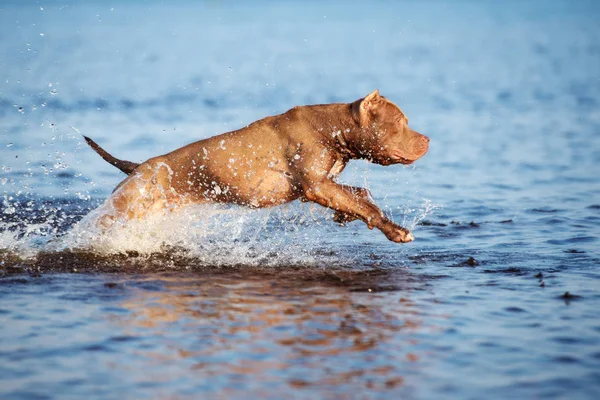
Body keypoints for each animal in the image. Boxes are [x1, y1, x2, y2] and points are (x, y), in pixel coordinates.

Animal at [86, 89, 428, 242]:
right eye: (400, 122)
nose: (427, 139)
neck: (333, 127)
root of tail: (138, 168)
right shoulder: (317, 185)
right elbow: (364, 203)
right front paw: (396, 230)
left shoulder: (320, 186)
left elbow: (359, 195)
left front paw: (346, 215)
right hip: (124, 208)